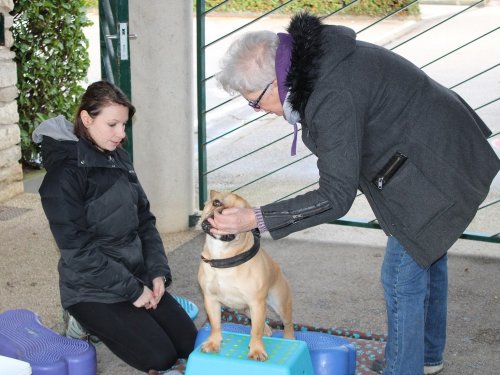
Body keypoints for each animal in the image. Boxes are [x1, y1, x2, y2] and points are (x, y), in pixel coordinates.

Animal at [197, 191, 294, 362]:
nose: (222, 212)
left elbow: (255, 330)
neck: (222, 255)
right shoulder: (211, 299)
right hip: (247, 308)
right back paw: (267, 330)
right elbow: (215, 324)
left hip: (280, 303)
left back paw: (289, 339)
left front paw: (256, 350)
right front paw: (213, 343)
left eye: (239, 214)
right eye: (216, 202)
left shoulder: (256, 302)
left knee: (287, 323)